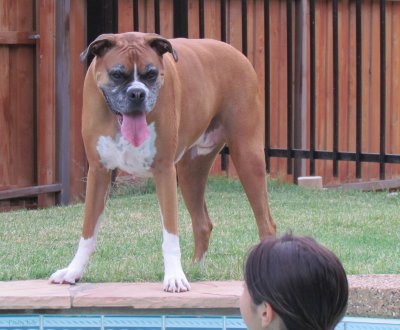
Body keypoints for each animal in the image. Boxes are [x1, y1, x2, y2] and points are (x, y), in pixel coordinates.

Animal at [49, 32, 276, 292]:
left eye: (151, 74)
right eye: (117, 74)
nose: (137, 93)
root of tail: (236, 52)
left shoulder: (164, 171)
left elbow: (170, 234)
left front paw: (174, 276)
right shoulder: (98, 172)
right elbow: (88, 231)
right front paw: (73, 271)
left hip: (247, 156)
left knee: (266, 223)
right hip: (191, 172)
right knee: (202, 223)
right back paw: (196, 269)